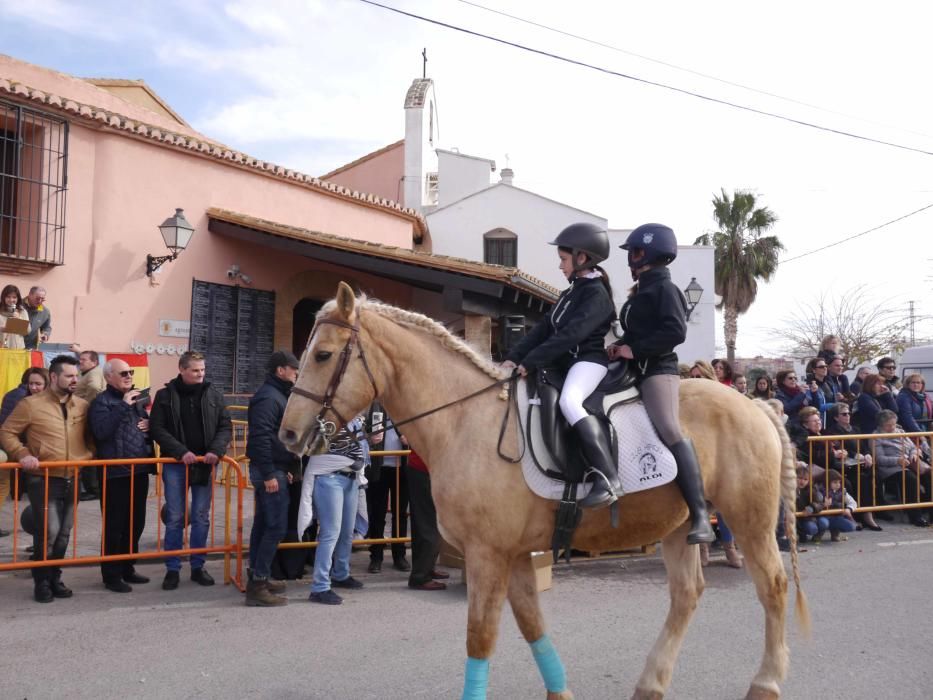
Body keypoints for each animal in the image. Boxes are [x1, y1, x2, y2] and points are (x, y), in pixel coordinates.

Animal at [278, 282, 808, 696]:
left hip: (750, 522)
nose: (289, 435)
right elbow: (532, 625)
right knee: (687, 595)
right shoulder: (512, 555)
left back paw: (766, 684)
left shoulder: (488, 553)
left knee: (773, 587)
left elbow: (480, 636)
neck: (465, 419)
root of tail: (758, 406)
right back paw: (650, 685)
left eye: (323, 355)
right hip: (679, 527)